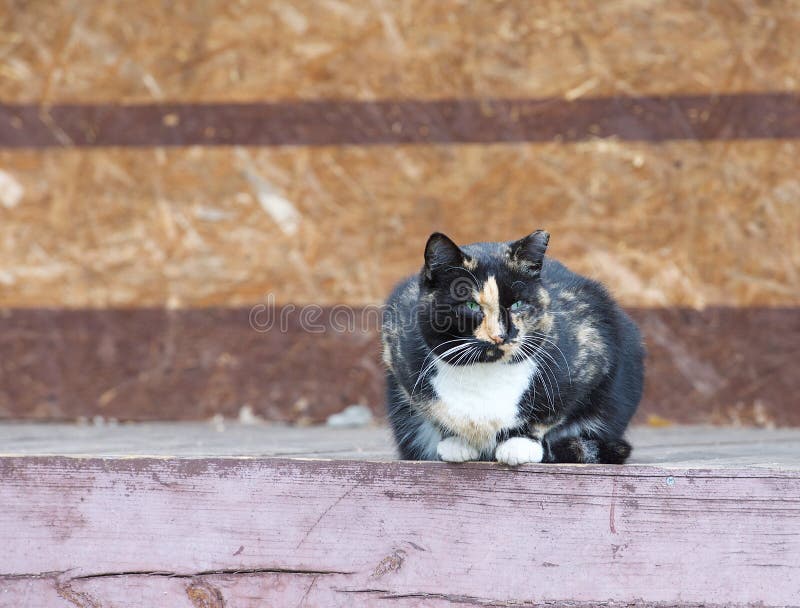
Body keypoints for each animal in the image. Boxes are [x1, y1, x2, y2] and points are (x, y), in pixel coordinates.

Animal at [380, 232, 644, 466]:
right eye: (471, 305)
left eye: (517, 304)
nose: (500, 334)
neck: (485, 372)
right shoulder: (398, 353)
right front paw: (455, 441)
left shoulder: (592, 349)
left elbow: (552, 412)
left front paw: (520, 444)